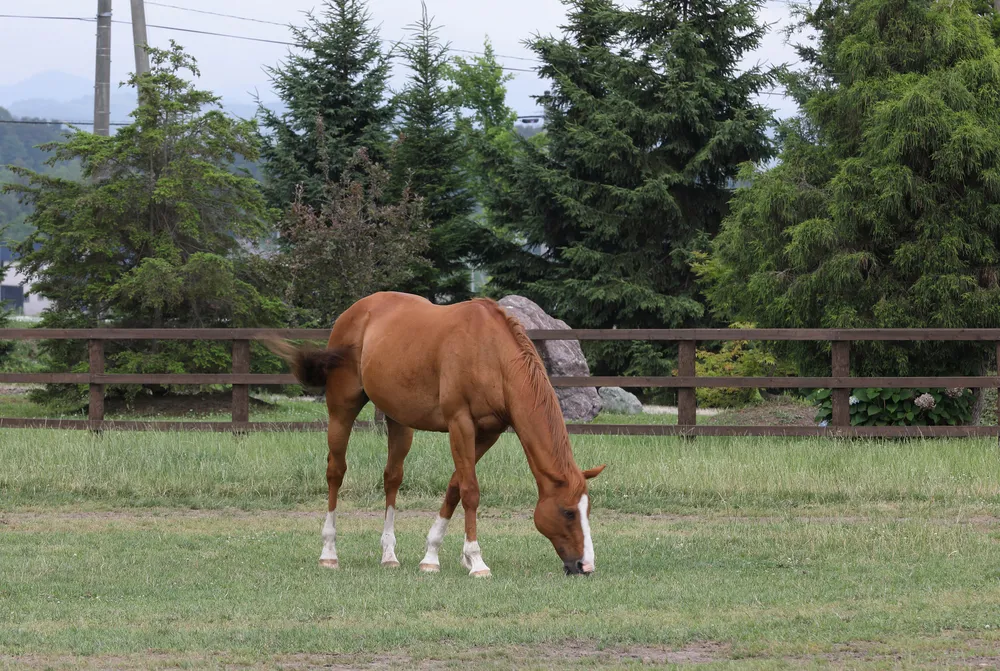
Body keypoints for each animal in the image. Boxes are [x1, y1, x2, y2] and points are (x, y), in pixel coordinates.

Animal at [268, 291, 605, 577]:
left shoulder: (488, 432)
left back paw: (389, 555)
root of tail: (356, 311)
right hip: (341, 410)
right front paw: (477, 561)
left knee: (392, 477)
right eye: (568, 512)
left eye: (587, 510)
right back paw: (329, 552)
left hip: (399, 421)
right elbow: (470, 491)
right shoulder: (460, 424)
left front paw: (433, 556)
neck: (491, 353)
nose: (585, 566)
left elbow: (455, 486)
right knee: (335, 472)